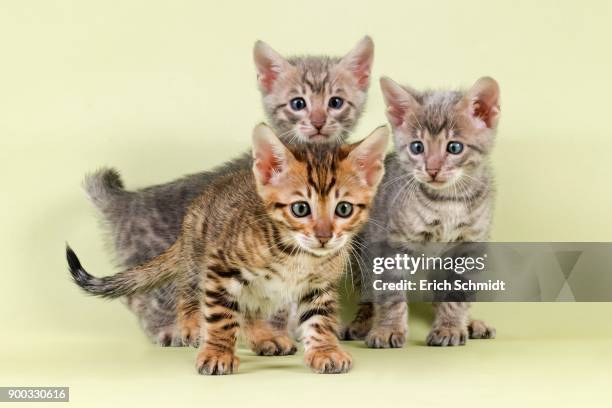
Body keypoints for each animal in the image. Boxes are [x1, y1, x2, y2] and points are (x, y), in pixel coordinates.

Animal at [68, 124, 388, 376]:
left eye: (343, 209)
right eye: (300, 208)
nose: (324, 236)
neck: (298, 256)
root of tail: (204, 196)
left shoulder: (318, 284)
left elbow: (320, 318)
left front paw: (324, 351)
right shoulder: (221, 268)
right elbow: (221, 316)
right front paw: (217, 353)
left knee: (249, 311)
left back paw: (264, 336)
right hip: (197, 255)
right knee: (188, 291)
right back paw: (191, 326)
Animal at [83, 36, 376, 346]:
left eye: (335, 103)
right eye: (298, 104)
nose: (319, 122)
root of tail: (124, 200)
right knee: (147, 296)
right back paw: (172, 330)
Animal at [342, 75, 500, 348]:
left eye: (454, 148)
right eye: (417, 147)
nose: (432, 169)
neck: (447, 201)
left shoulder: (468, 246)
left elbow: (458, 293)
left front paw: (450, 327)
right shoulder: (392, 244)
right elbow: (390, 293)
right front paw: (388, 330)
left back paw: (469, 324)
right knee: (368, 292)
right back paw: (363, 323)